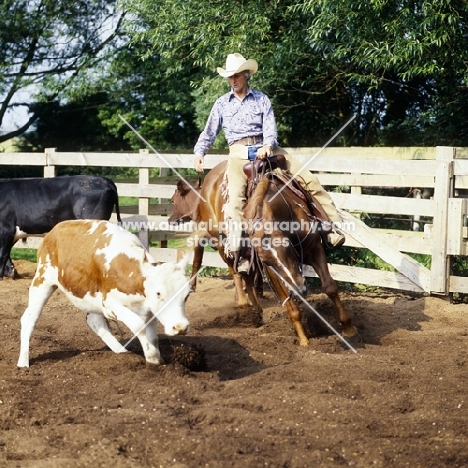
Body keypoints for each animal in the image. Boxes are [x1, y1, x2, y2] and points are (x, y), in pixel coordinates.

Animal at [18, 220, 190, 370]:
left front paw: (154, 358)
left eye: (187, 295)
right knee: (29, 318)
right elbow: (138, 325)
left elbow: (152, 335)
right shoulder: (109, 304)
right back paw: (23, 362)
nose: (180, 327)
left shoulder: (149, 309)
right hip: (42, 281)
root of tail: (53, 231)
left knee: (95, 321)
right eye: (159, 293)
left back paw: (122, 352)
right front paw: (152, 356)